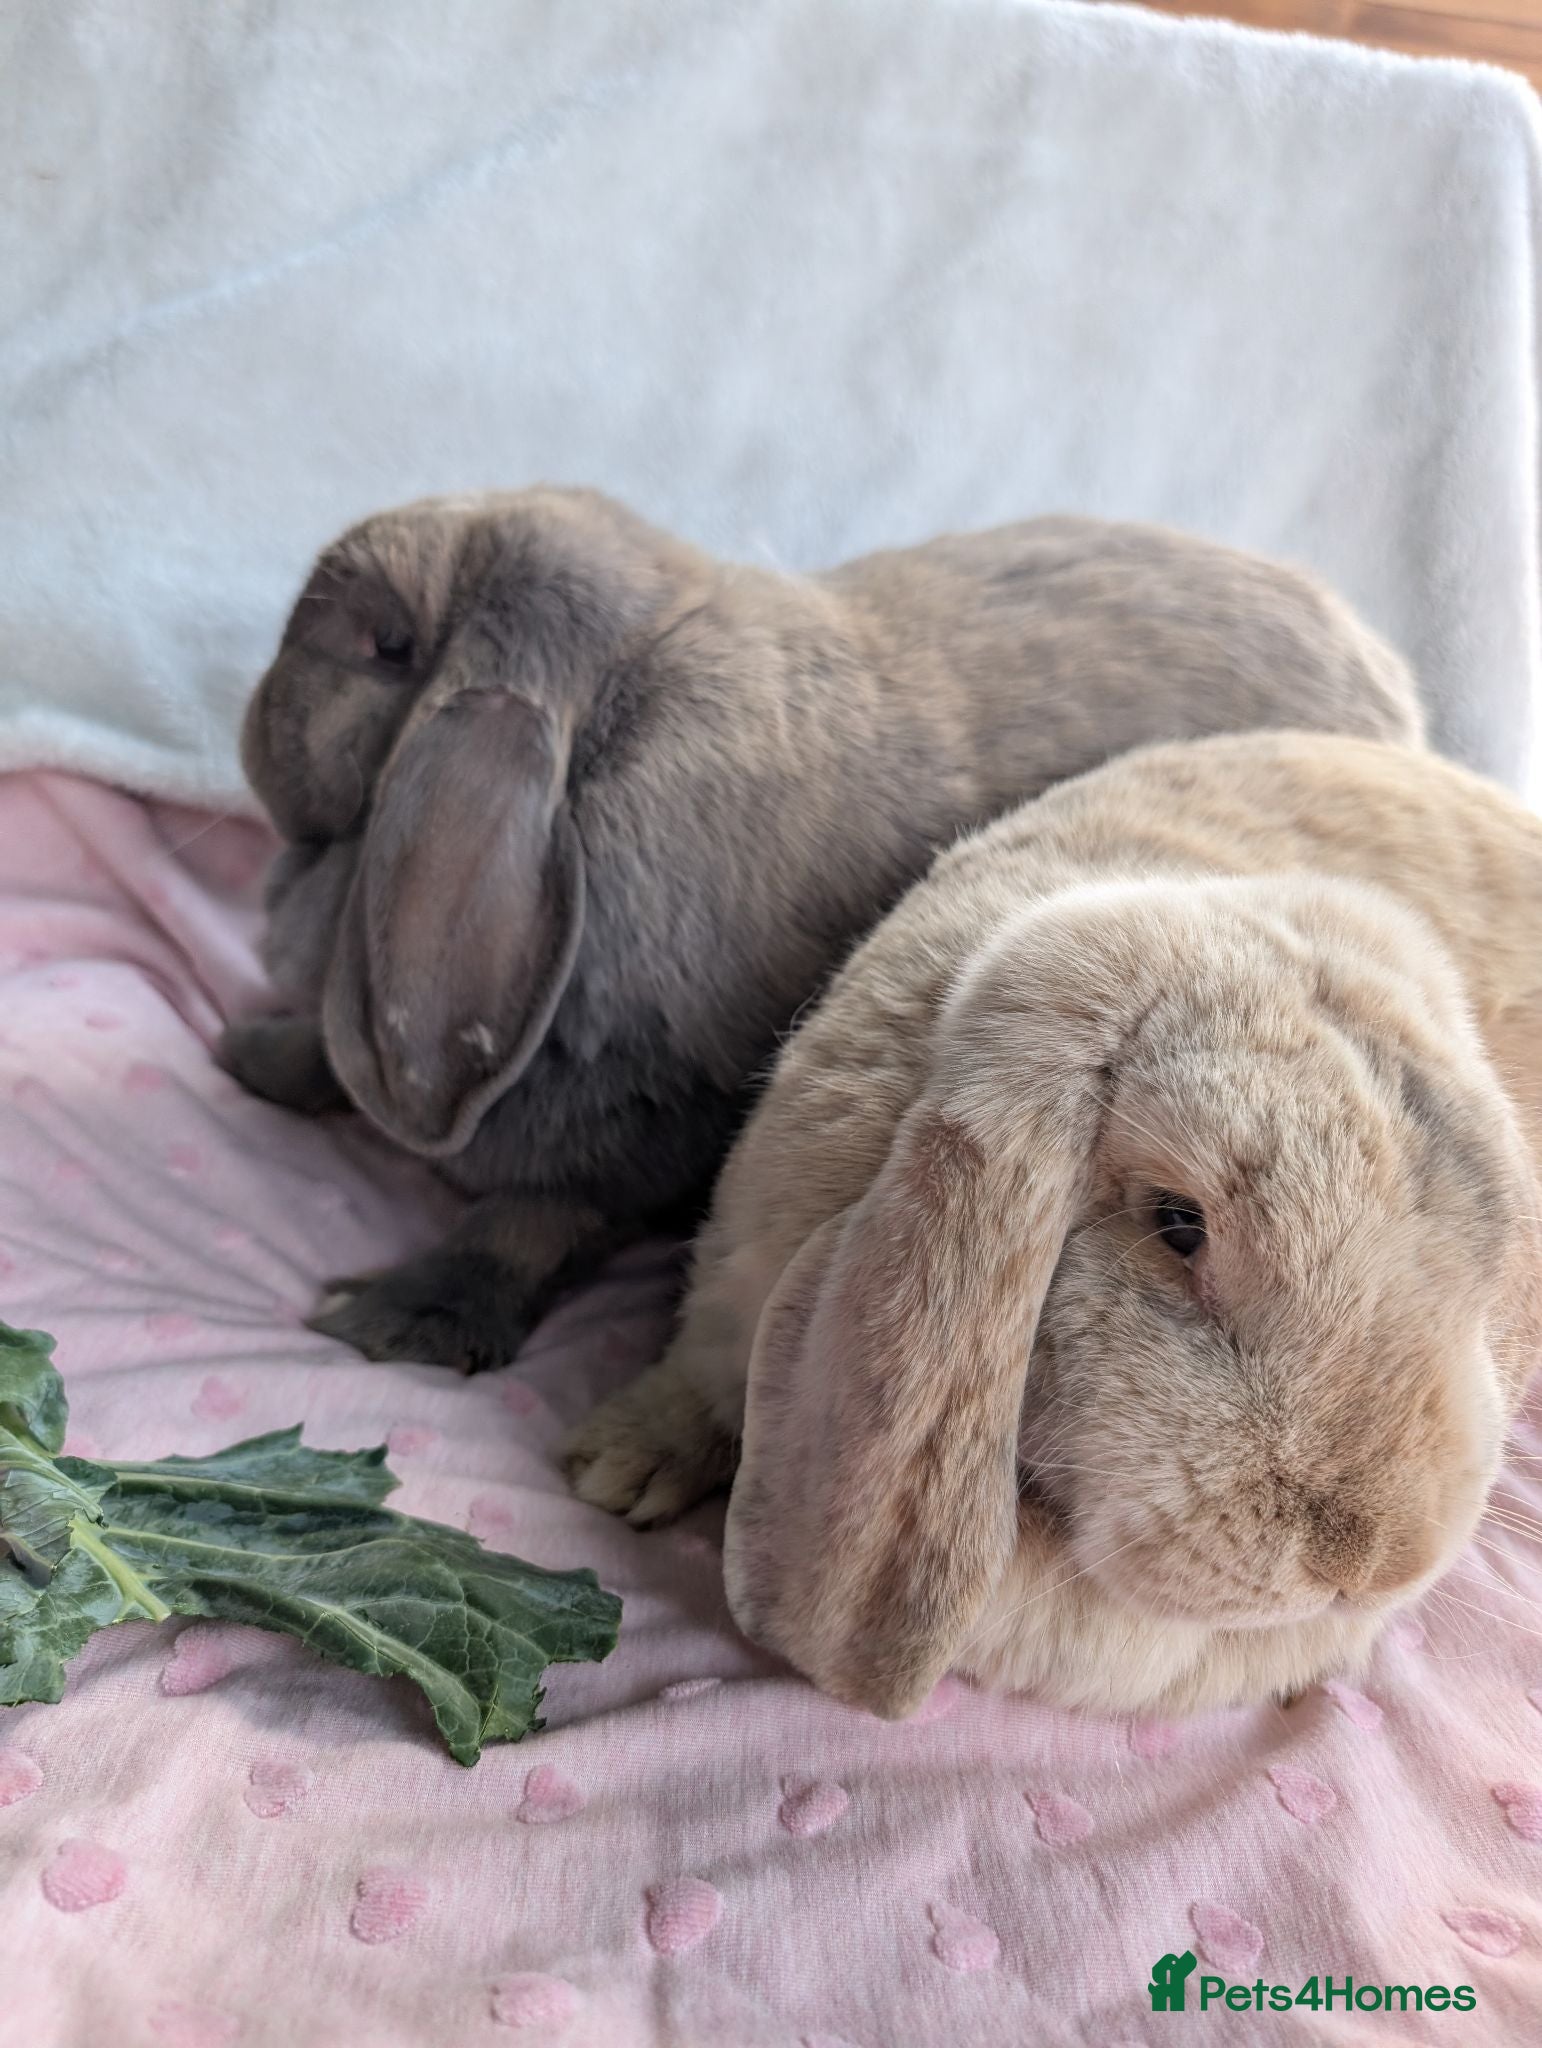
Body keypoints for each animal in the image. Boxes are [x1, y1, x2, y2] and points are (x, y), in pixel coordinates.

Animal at [220, 485, 1424, 1375]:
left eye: (387, 642)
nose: (255, 699)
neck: (610, 704)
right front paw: (254, 1057)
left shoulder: (639, 1128)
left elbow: (526, 1219)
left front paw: (389, 1318)